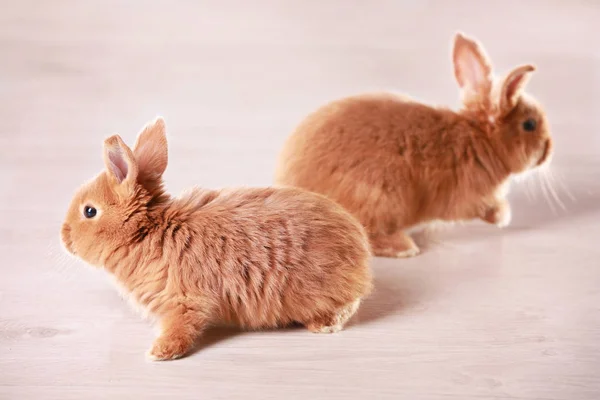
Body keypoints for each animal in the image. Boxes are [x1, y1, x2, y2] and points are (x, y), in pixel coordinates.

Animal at [59, 117, 370, 360]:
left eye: (89, 211)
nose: (64, 238)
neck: (148, 232)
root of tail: (362, 256)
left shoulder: (186, 300)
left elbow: (182, 328)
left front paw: (160, 352)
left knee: (349, 304)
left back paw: (324, 324)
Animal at [274, 32, 552, 258]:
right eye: (529, 124)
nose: (548, 150)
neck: (479, 137)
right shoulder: (470, 198)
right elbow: (483, 208)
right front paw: (503, 216)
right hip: (380, 195)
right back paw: (404, 247)